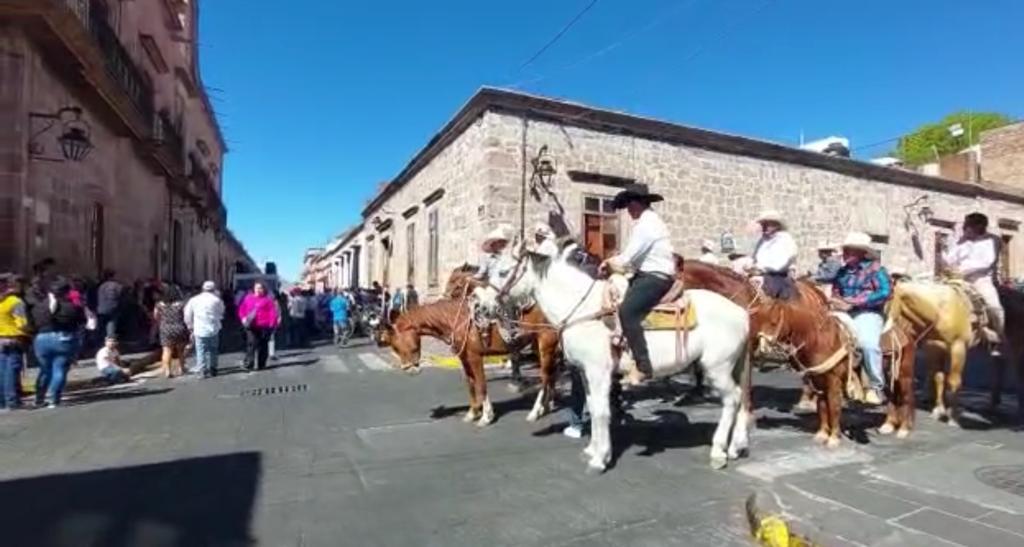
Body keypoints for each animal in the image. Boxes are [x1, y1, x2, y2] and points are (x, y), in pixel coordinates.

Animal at [376, 299, 561, 426]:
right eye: (394, 348)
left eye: (398, 345)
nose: (409, 370)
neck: (457, 320)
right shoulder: (464, 358)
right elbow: (471, 383)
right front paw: (472, 413)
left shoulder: (474, 356)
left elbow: (481, 384)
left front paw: (486, 416)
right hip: (540, 345)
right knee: (551, 374)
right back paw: (548, 405)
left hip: (546, 343)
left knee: (545, 377)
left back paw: (535, 411)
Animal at [479, 246, 753, 473]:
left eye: (503, 272)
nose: (482, 306)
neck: (583, 310)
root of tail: (741, 313)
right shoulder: (586, 373)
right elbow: (593, 406)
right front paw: (593, 449)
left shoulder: (598, 372)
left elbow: (601, 412)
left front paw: (600, 459)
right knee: (742, 398)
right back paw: (735, 447)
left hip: (717, 368)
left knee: (732, 399)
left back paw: (718, 452)